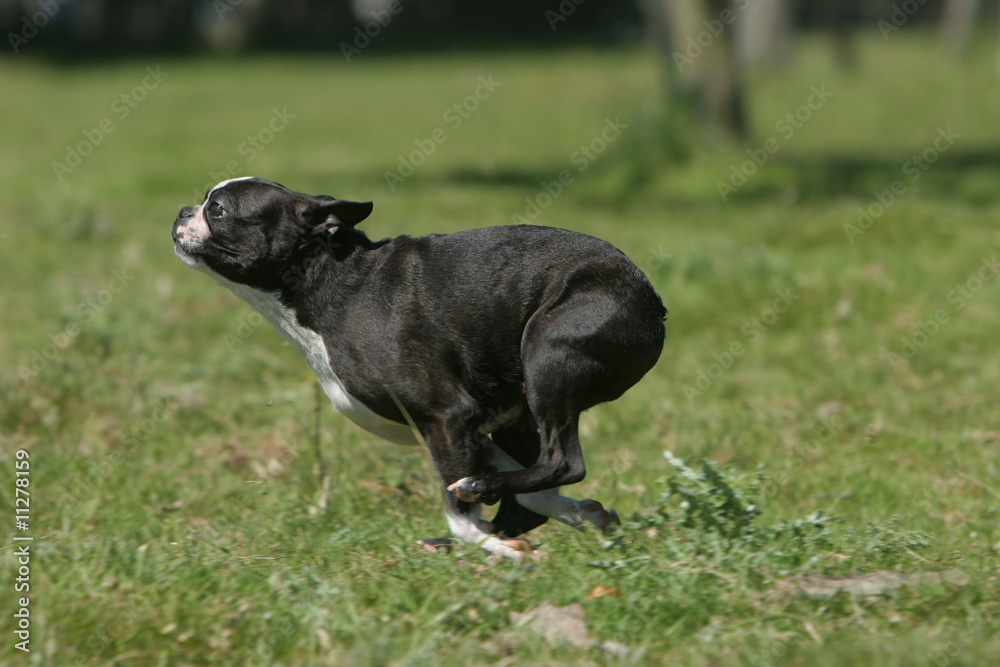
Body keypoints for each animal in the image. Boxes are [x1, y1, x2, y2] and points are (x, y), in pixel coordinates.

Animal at [173, 176, 668, 560]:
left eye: (218, 209)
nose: (181, 210)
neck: (332, 283)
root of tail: (651, 300)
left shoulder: (447, 417)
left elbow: (461, 513)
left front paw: (493, 542)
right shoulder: (469, 429)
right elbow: (530, 498)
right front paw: (579, 516)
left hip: (549, 352)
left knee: (564, 460)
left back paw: (481, 505)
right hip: (525, 407)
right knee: (532, 487)